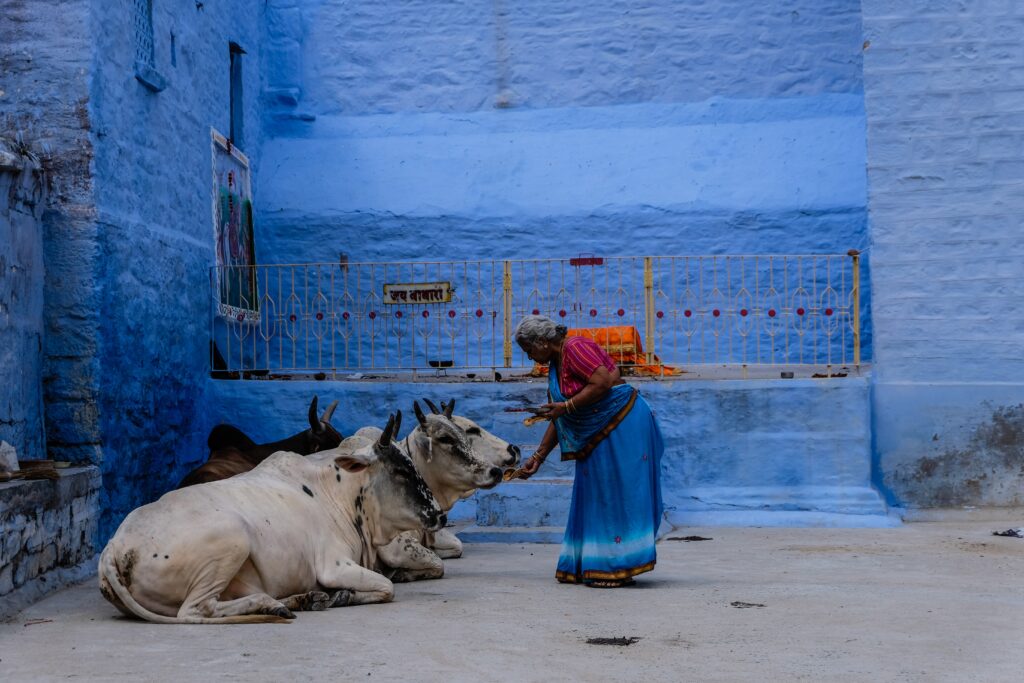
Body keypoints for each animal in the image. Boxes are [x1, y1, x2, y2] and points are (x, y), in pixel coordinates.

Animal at [96, 411, 444, 626]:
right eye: (400, 471)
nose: (439, 514)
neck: (339, 494)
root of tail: (114, 547)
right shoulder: (333, 566)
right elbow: (387, 586)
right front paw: (344, 595)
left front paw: (335, 596)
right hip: (233, 537)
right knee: (195, 610)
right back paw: (270, 603)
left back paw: (302, 599)